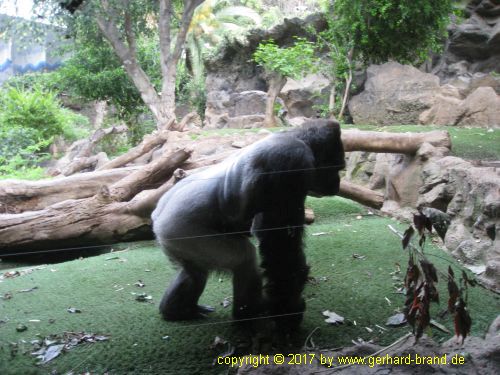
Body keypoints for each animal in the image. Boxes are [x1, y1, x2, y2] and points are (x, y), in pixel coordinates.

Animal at [152, 119, 346, 330]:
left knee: (194, 272)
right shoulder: (292, 159)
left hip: (175, 239)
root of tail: (156, 218)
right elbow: (279, 244)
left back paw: (178, 310)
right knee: (244, 260)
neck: (294, 136)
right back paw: (248, 314)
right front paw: (288, 310)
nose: (337, 184)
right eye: (336, 168)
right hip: (181, 230)